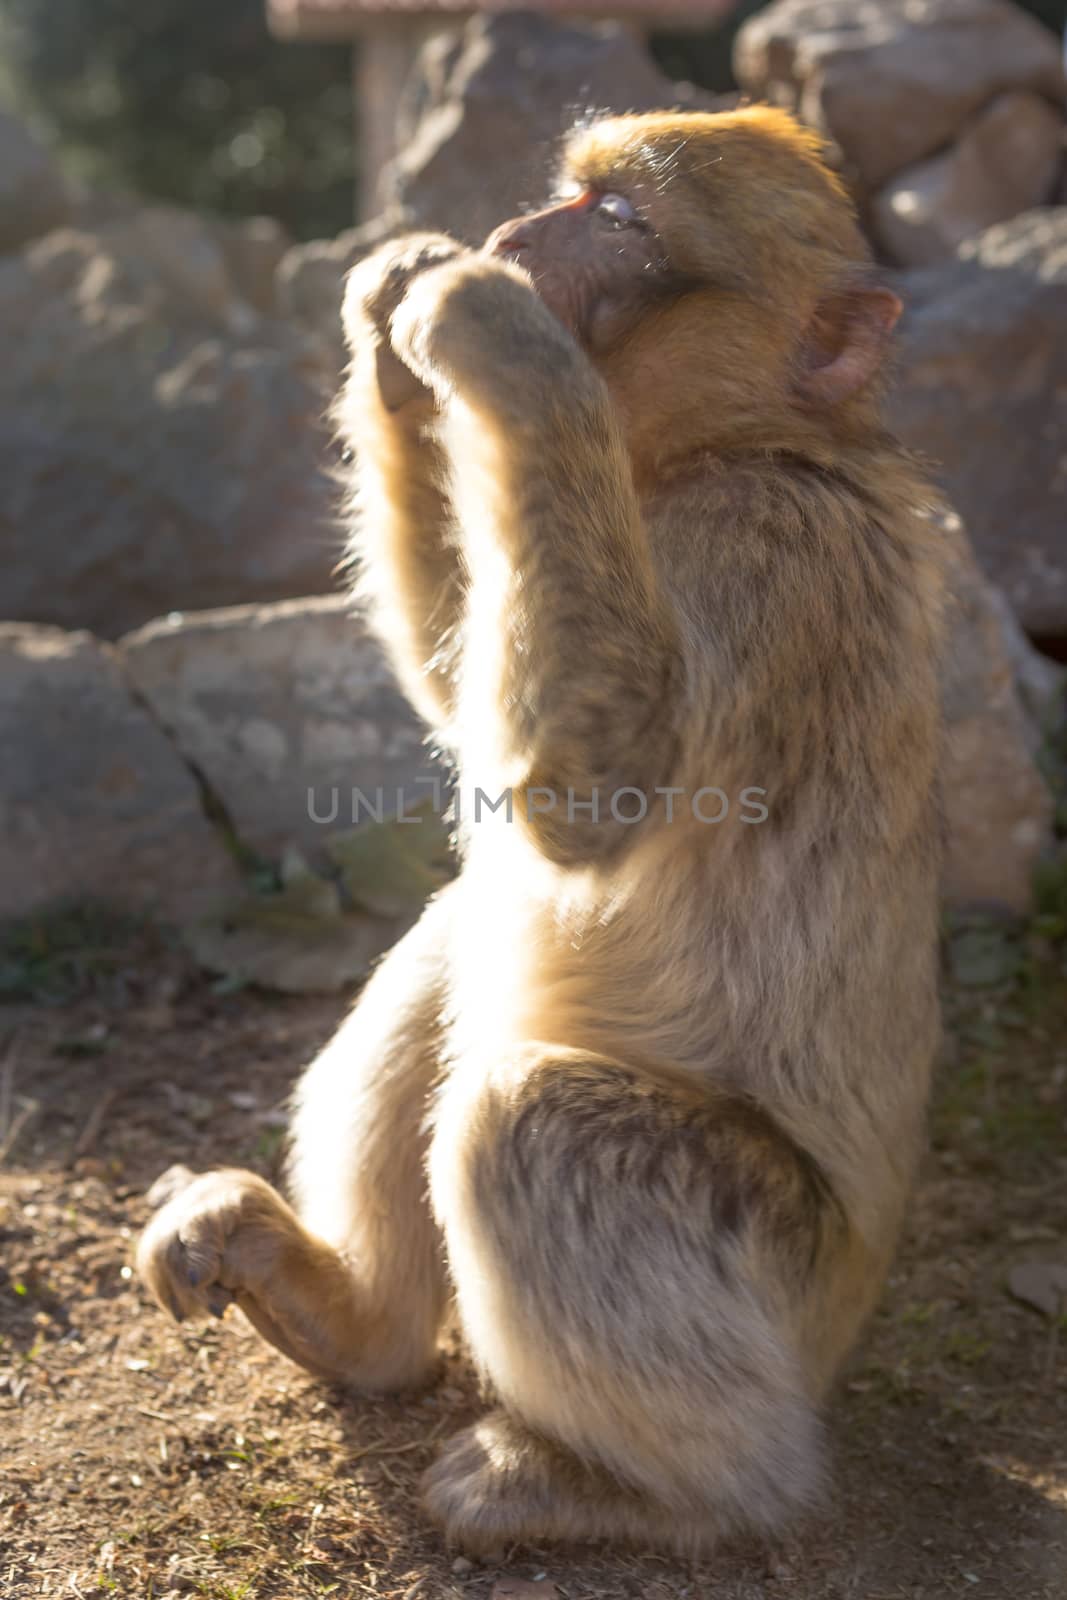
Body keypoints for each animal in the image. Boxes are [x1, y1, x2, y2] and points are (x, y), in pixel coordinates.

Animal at [137, 106, 947, 1555]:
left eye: (618, 220)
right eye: (569, 192)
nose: (516, 233)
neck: (735, 445)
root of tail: (844, 1329)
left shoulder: (758, 549)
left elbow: (594, 792)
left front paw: (492, 333)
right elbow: (466, 695)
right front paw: (389, 315)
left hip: (775, 1275)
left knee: (536, 1121)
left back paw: (651, 1489)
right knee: (460, 942)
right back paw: (349, 1323)